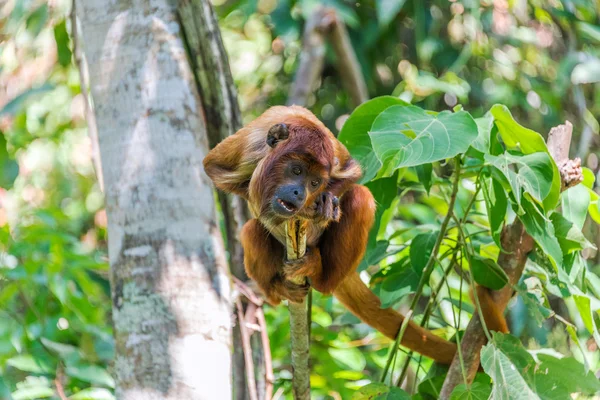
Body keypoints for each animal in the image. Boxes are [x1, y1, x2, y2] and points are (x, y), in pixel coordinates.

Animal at [204, 104, 504, 364]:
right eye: (296, 170)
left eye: (314, 182)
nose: (300, 193)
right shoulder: (249, 144)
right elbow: (213, 167)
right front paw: (269, 211)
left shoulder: (334, 154)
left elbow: (353, 174)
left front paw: (322, 209)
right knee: (250, 231)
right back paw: (276, 288)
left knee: (360, 199)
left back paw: (318, 269)